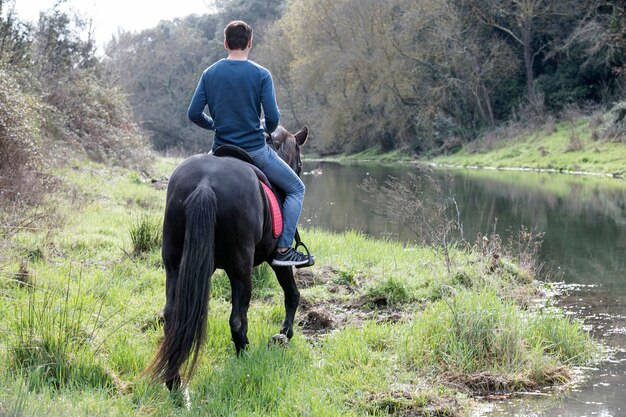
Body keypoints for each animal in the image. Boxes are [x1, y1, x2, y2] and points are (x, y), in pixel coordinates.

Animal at [142, 125, 308, 388]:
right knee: (238, 319)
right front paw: (285, 334)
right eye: (300, 163)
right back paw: (245, 358)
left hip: (174, 264)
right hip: (241, 270)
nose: (298, 171)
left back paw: (174, 381)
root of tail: (205, 184)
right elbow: (292, 294)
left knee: (171, 315)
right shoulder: (277, 259)